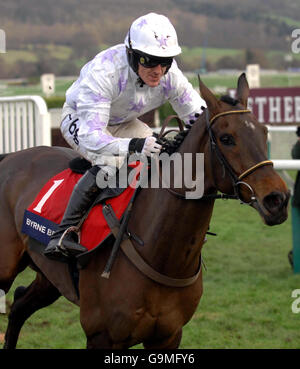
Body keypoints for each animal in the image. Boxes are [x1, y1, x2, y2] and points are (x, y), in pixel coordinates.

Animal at [0, 73, 290, 346]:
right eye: (227, 138)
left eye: (264, 132)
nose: (278, 199)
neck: (160, 253)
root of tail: (10, 156)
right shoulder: (101, 336)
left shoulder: (168, 335)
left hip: (49, 278)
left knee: (19, 306)